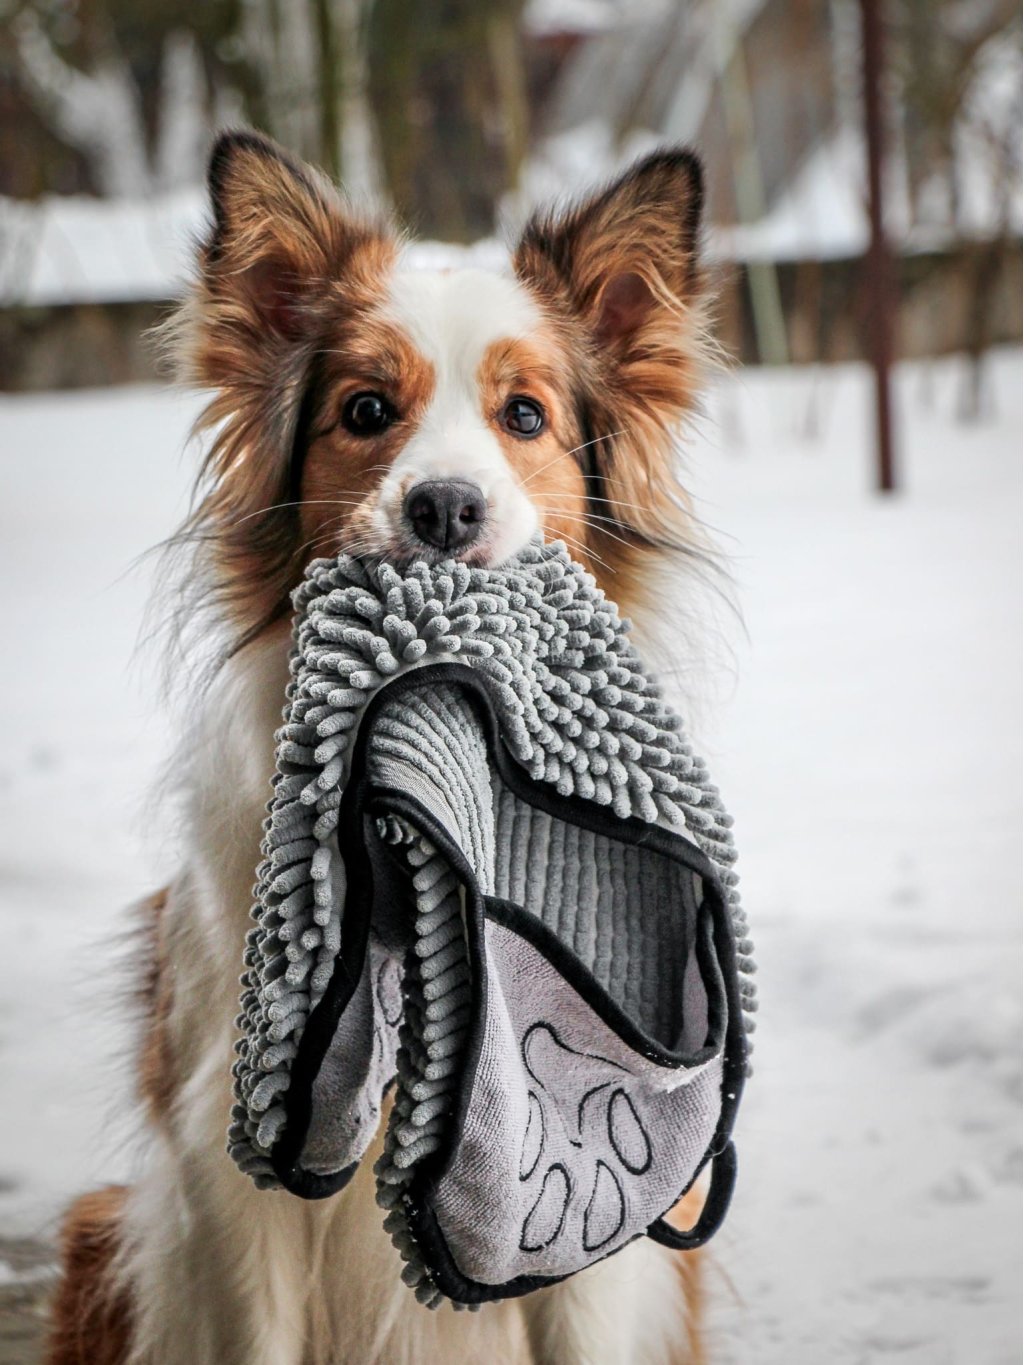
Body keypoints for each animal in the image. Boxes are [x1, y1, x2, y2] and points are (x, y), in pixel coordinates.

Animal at [48, 130, 715, 1365]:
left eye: (524, 417)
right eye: (365, 410)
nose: (444, 509)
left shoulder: (589, 1205)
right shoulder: (230, 1172)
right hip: (97, 1234)